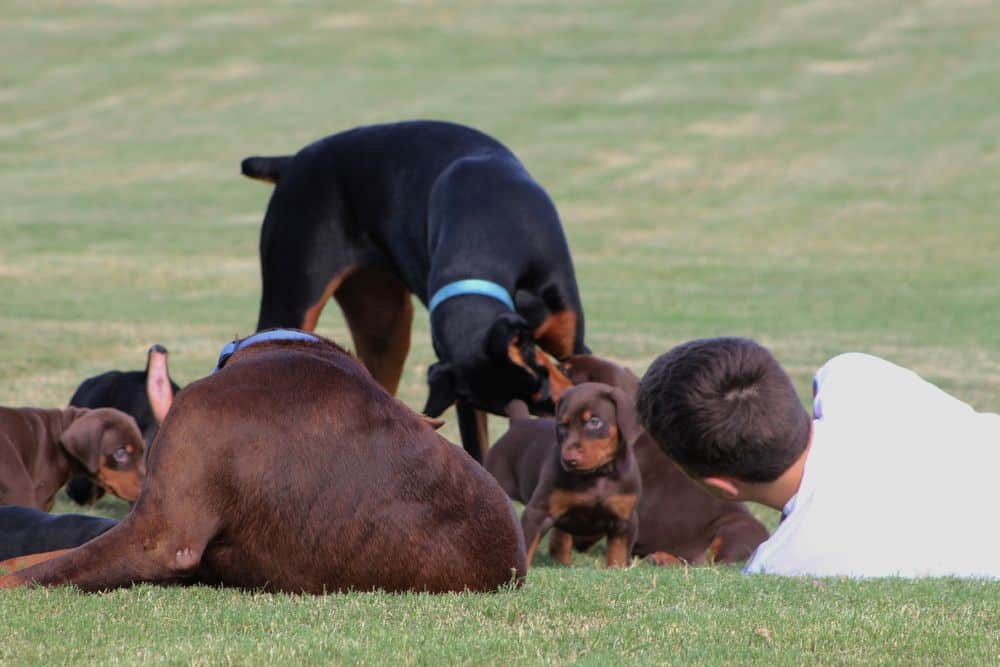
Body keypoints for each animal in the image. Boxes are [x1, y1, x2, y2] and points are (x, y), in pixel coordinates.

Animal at [244, 120, 584, 462]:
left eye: (540, 374)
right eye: (536, 388)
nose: (563, 411)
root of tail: (291, 163)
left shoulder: (572, 346)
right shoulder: (465, 396)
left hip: (385, 332)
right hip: (293, 305)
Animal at [484, 384, 640, 572]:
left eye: (594, 421)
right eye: (562, 426)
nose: (568, 459)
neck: (597, 475)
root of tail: (518, 423)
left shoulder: (624, 520)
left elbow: (618, 555)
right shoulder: (538, 513)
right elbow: (526, 547)